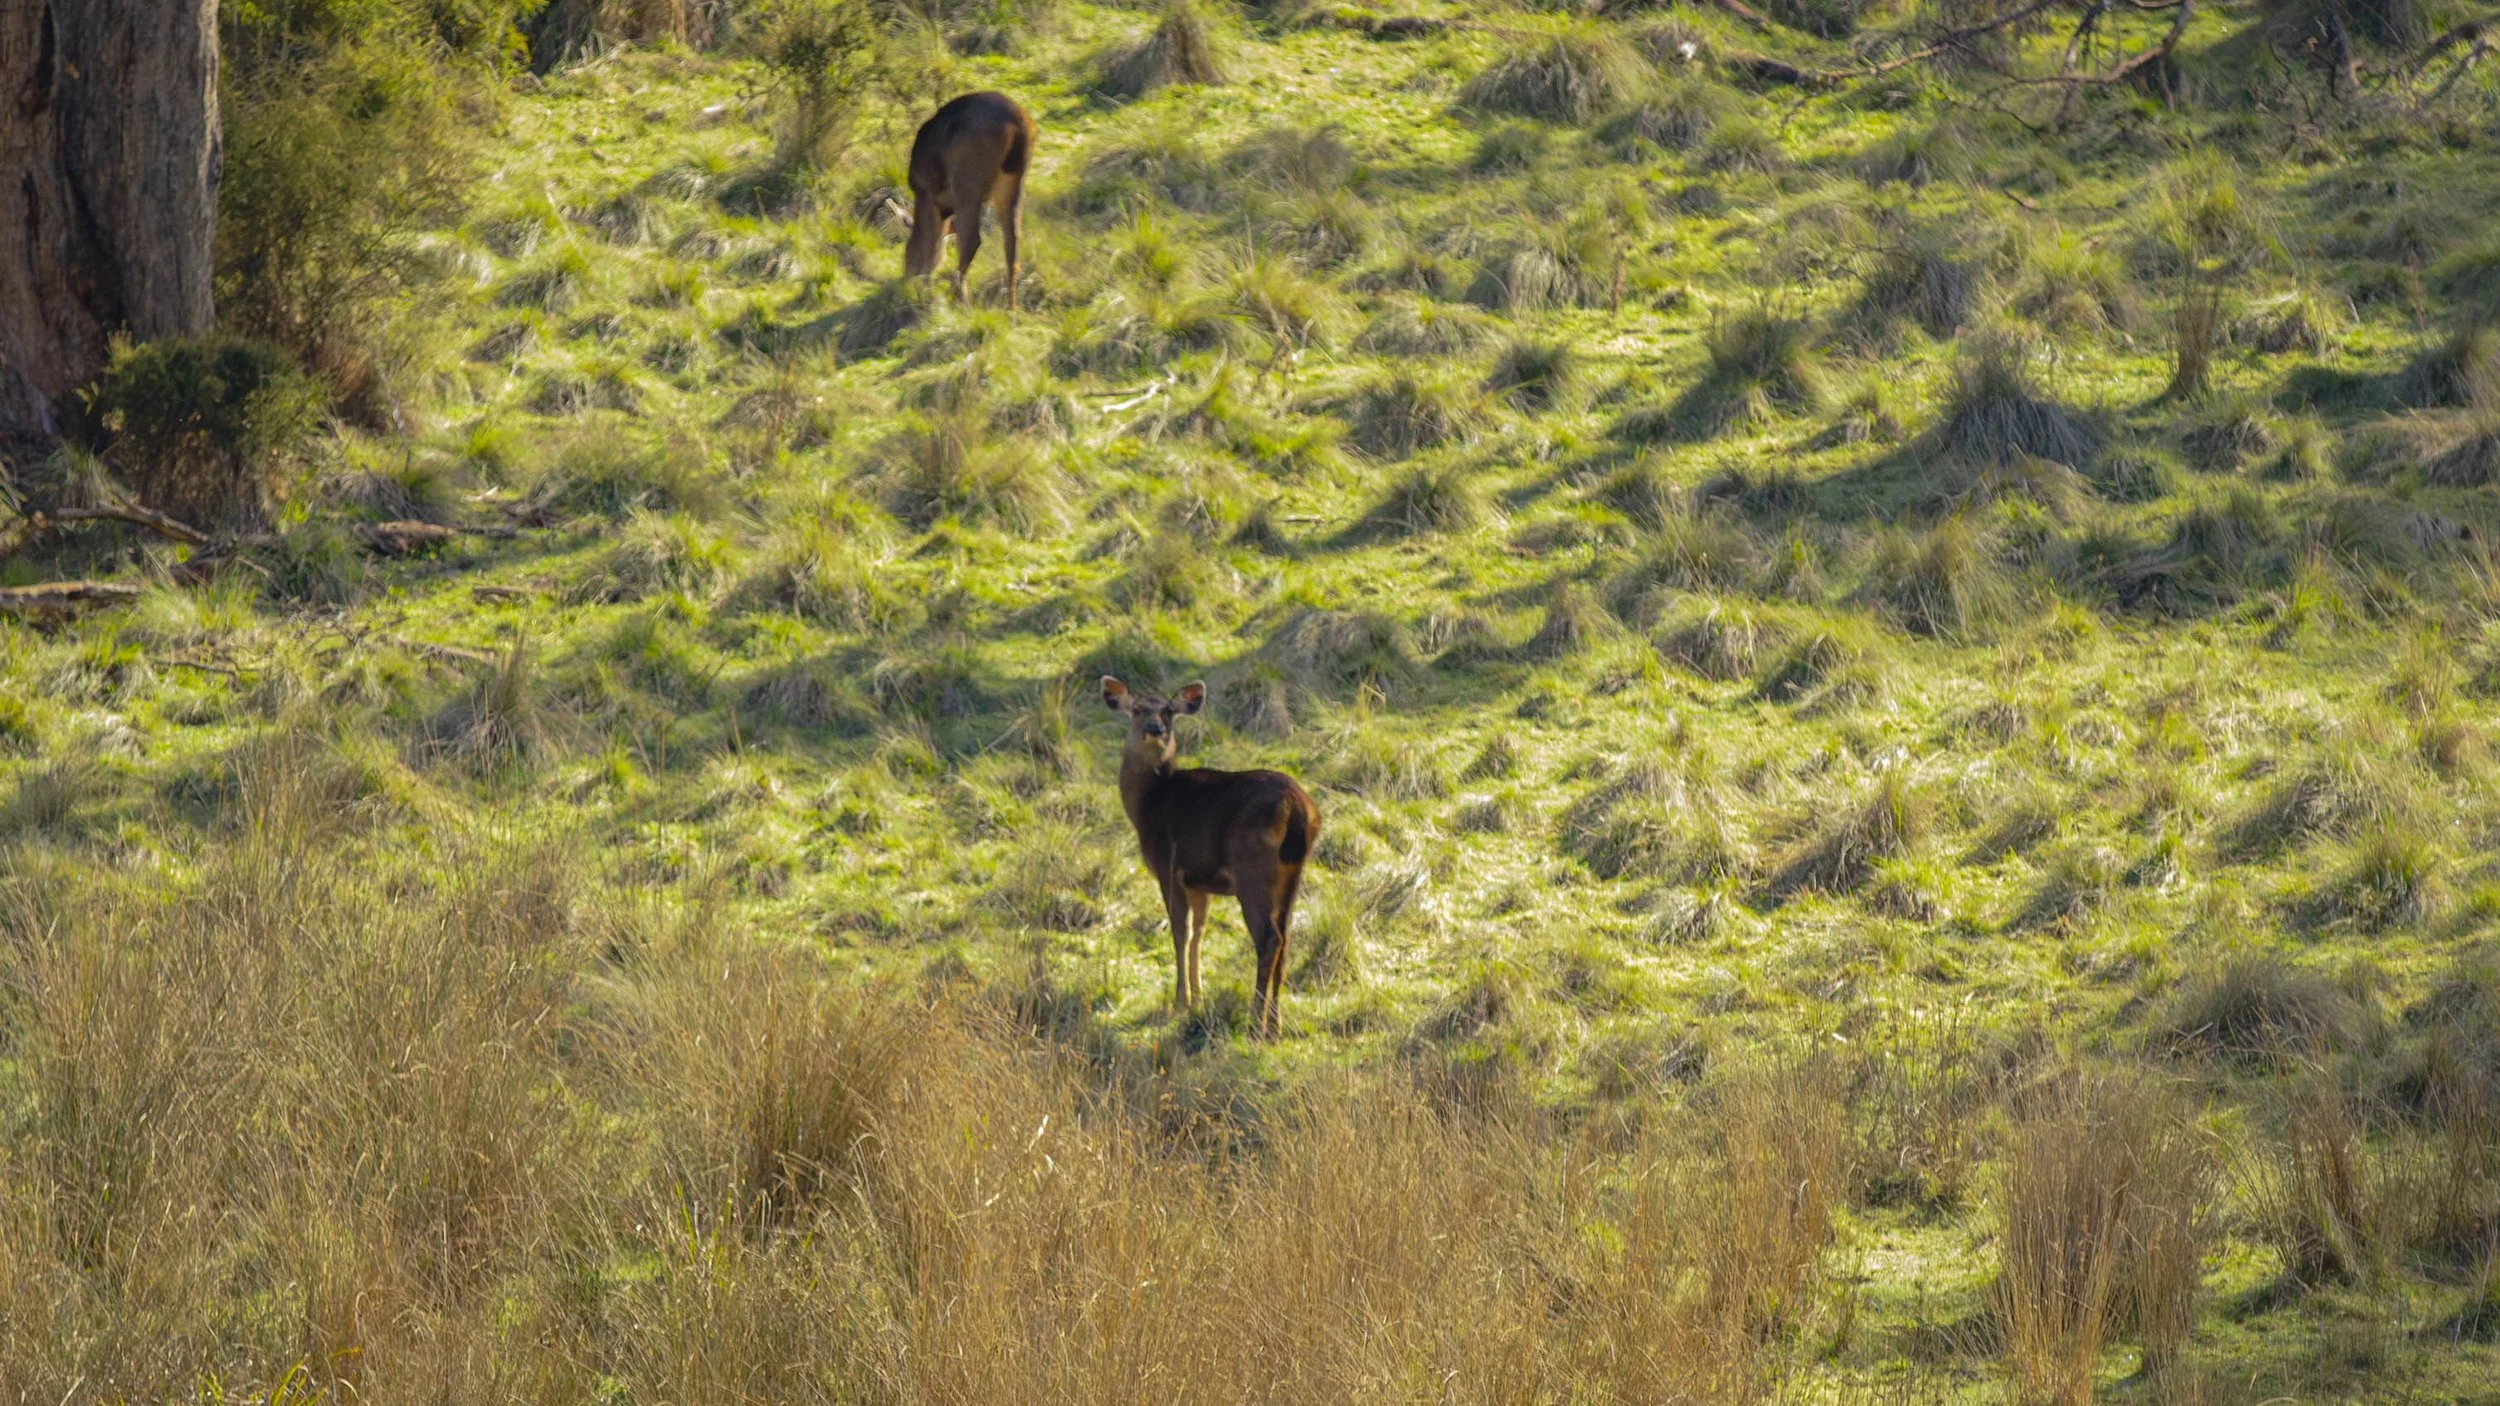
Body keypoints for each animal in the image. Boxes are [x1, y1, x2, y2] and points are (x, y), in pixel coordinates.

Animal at [903, 91, 1036, 311]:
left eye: (906, 253)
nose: (905, 280)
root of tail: (1017, 126)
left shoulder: (927, 194)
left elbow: (931, 243)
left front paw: (925, 291)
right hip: (1014, 181)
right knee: (1012, 239)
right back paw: (1011, 306)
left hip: (967, 179)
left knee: (972, 239)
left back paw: (957, 297)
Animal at [1102, 677, 1321, 1041]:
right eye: (1137, 710)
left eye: (1168, 711)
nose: (1155, 729)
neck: (1148, 807)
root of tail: (1300, 813)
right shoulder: (1200, 882)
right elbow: (1199, 933)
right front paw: (1198, 997)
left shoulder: (1169, 867)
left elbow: (1180, 931)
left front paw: (1179, 1001)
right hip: (1293, 875)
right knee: (1286, 938)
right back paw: (1275, 1024)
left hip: (1252, 869)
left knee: (1269, 938)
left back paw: (1256, 1022)